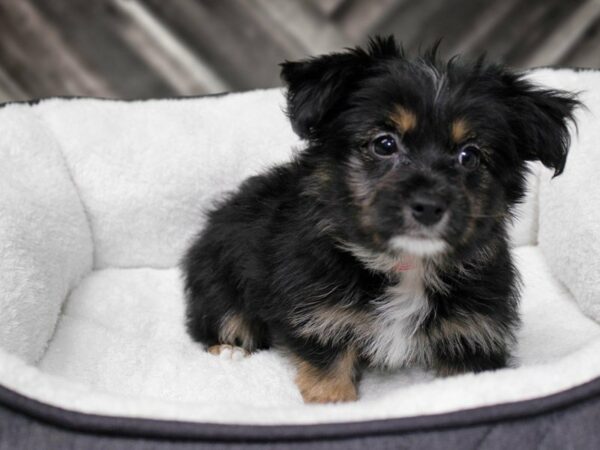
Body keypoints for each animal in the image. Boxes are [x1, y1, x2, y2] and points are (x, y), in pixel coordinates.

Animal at [180, 37, 580, 404]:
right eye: (384, 144)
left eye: (470, 156)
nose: (429, 206)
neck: (406, 265)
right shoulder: (322, 320)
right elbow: (329, 374)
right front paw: (333, 404)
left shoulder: (473, 332)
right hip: (218, 279)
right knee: (219, 319)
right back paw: (228, 350)